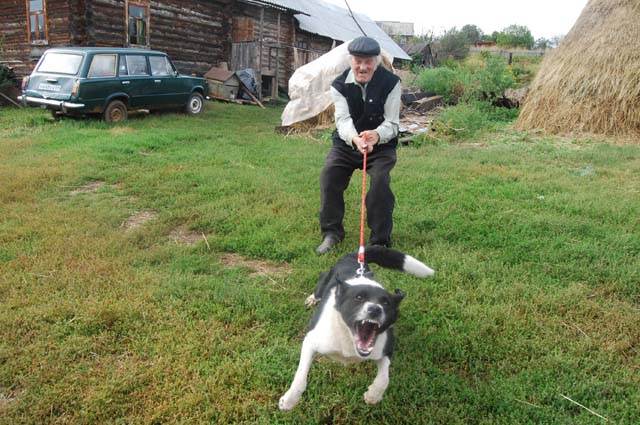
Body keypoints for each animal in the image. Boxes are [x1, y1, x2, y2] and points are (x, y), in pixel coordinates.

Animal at [280, 245, 436, 410]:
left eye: (386, 303)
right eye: (359, 297)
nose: (375, 309)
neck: (349, 338)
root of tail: (355, 256)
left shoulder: (385, 349)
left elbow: (384, 378)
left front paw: (373, 395)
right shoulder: (311, 341)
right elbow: (300, 375)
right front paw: (290, 400)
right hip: (326, 280)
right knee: (321, 280)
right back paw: (312, 298)